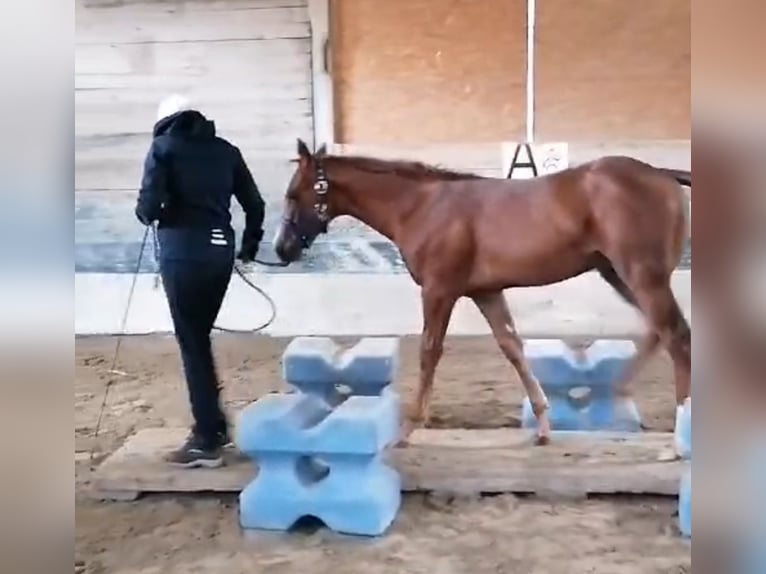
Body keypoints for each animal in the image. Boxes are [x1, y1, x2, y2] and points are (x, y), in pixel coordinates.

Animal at [274, 140, 688, 450]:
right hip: (618, 274)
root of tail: (662, 174)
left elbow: (429, 352)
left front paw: (408, 429)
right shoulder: (485, 292)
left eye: (293, 194)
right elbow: (512, 347)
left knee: (675, 334)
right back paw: (614, 393)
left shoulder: (439, 290)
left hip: (641, 275)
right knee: (658, 332)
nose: (282, 249)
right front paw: (543, 426)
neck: (422, 207)